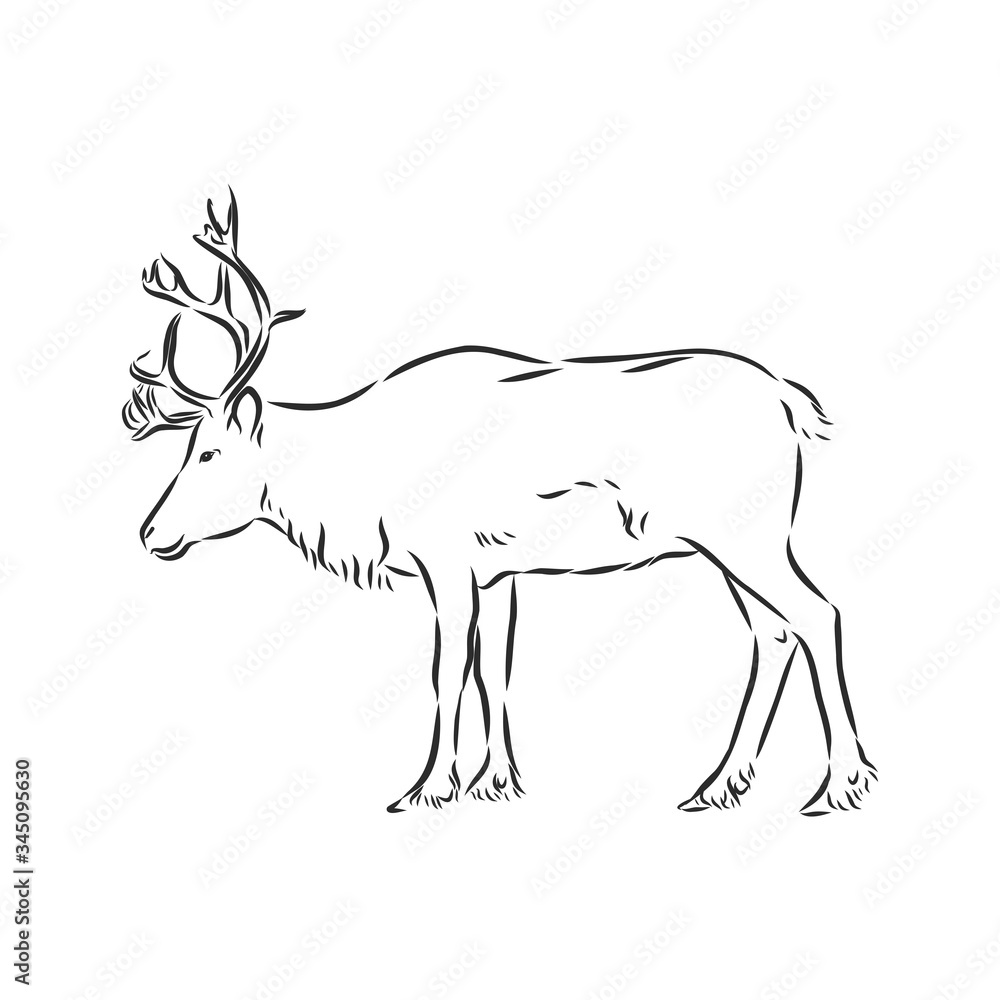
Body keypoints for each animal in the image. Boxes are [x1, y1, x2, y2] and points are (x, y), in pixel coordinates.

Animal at [125, 190, 876, 815]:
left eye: (209, 453)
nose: (150, 532)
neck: (365, 485)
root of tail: (792, 402)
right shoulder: (499, 572)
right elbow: (496, 668)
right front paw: (495, 781)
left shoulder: (446, 563)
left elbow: (447, 671)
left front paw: (426, 788)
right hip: (731, 542)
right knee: (771, 632)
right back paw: (718, 786)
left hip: (746, 537)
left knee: (817, 614)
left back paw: (839, 785)